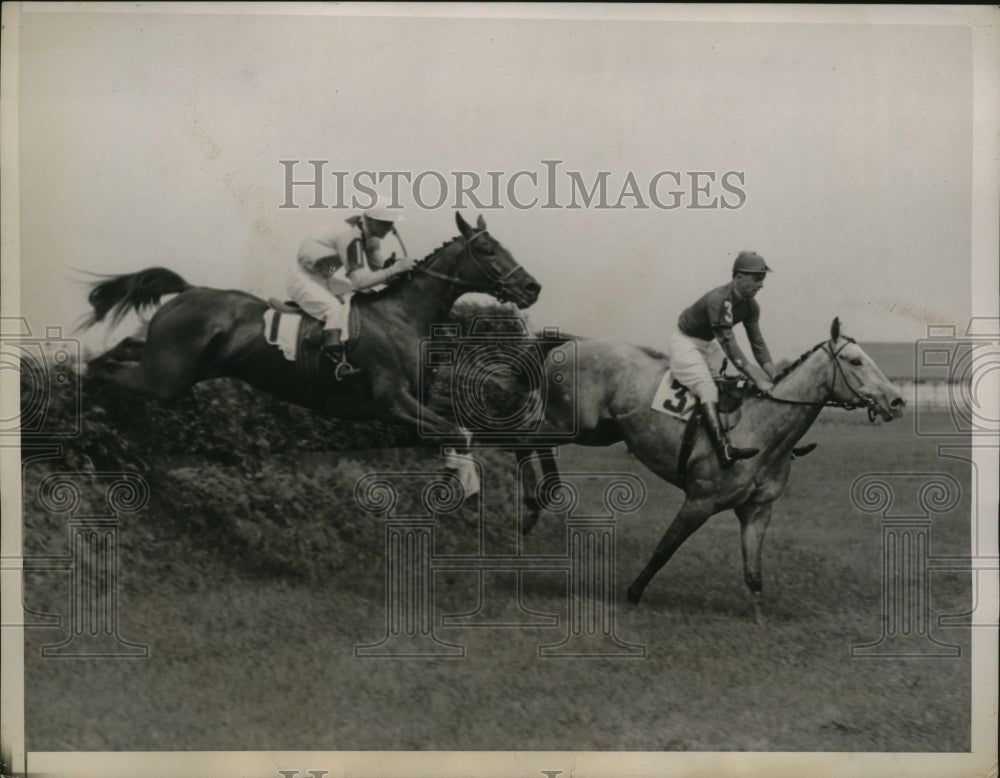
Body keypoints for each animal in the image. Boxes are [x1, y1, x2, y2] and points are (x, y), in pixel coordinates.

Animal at [80, 212, 540, 492]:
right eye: (487, 250)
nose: (532, 287)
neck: (401, 318)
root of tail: (191, 289)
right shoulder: (390, 402)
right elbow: (458, 432)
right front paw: (466, 485)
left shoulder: (422, 398)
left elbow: (467, 427)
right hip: (166, 379)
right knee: (108, 372)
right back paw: (89, 400)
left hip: (176, 365)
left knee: (127, 347)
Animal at [520, 316, 904, 620]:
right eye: (855, 361)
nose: (897, 401)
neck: (761, 428)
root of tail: (569, 343)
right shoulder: (699, 502)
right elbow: (664, 549)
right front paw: (633, 594)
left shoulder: (757, 511)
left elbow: (753, 572)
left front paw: (759, 620)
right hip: (573, 424)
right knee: (523, 437)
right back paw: (531, 505)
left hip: (598, 431)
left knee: (530, 441)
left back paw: (541, 497)